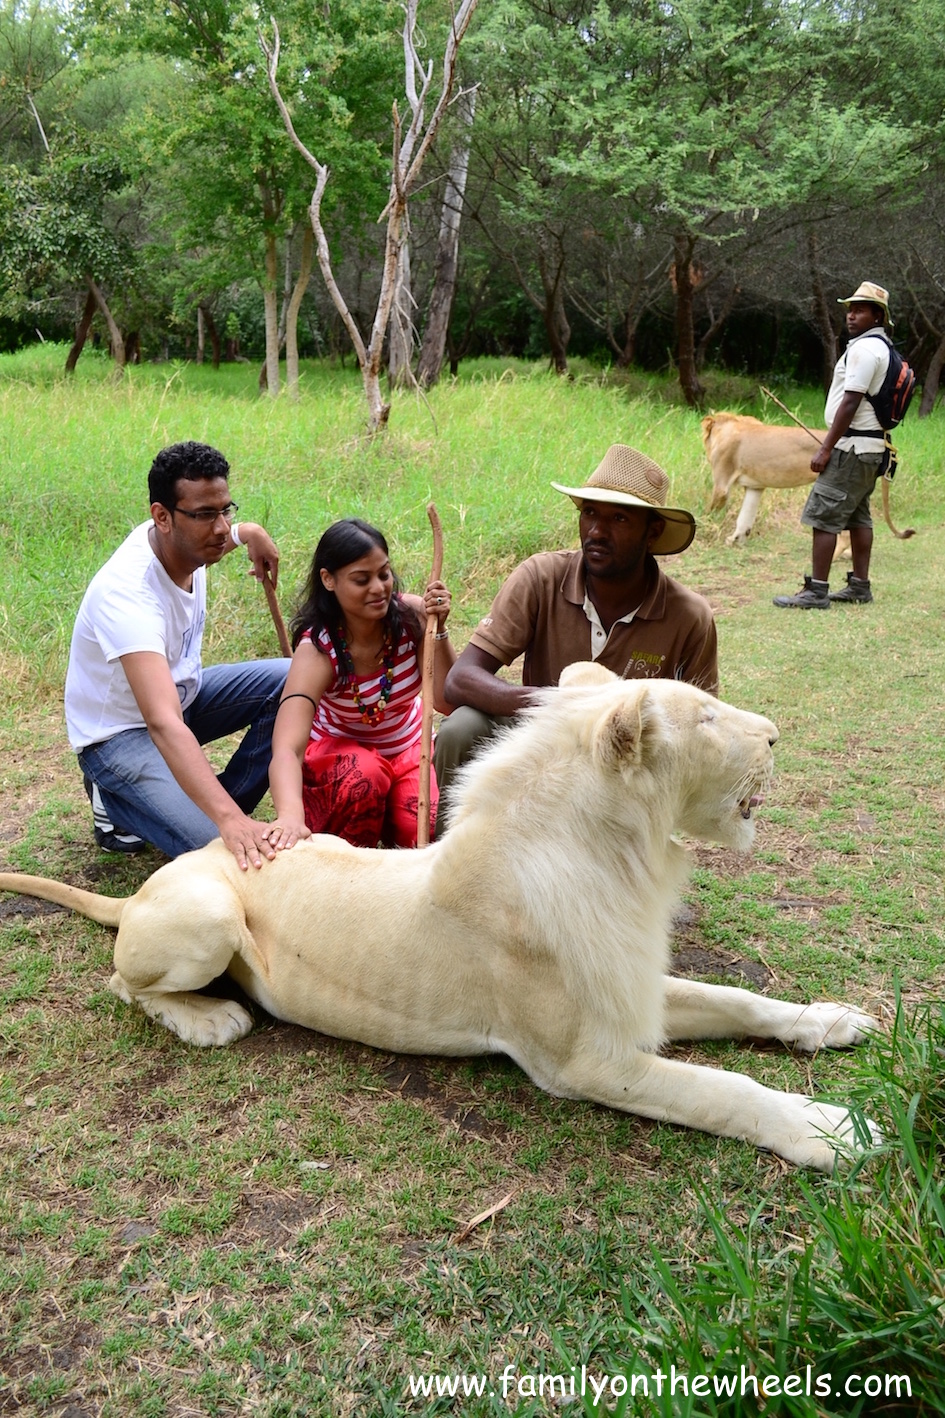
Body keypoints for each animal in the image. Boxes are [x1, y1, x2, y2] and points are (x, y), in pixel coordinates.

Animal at [0, 669, 874, 1168]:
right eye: (706, 720)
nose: (775, 735)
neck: (627, 861)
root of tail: (173, 871)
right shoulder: (578, 1062)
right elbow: (724, 1090)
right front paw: (831, 1130)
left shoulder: (629, 986)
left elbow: (739, 1001)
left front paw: (830, 1020)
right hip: (209, 915)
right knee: (122, 983)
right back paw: (211, 1018)